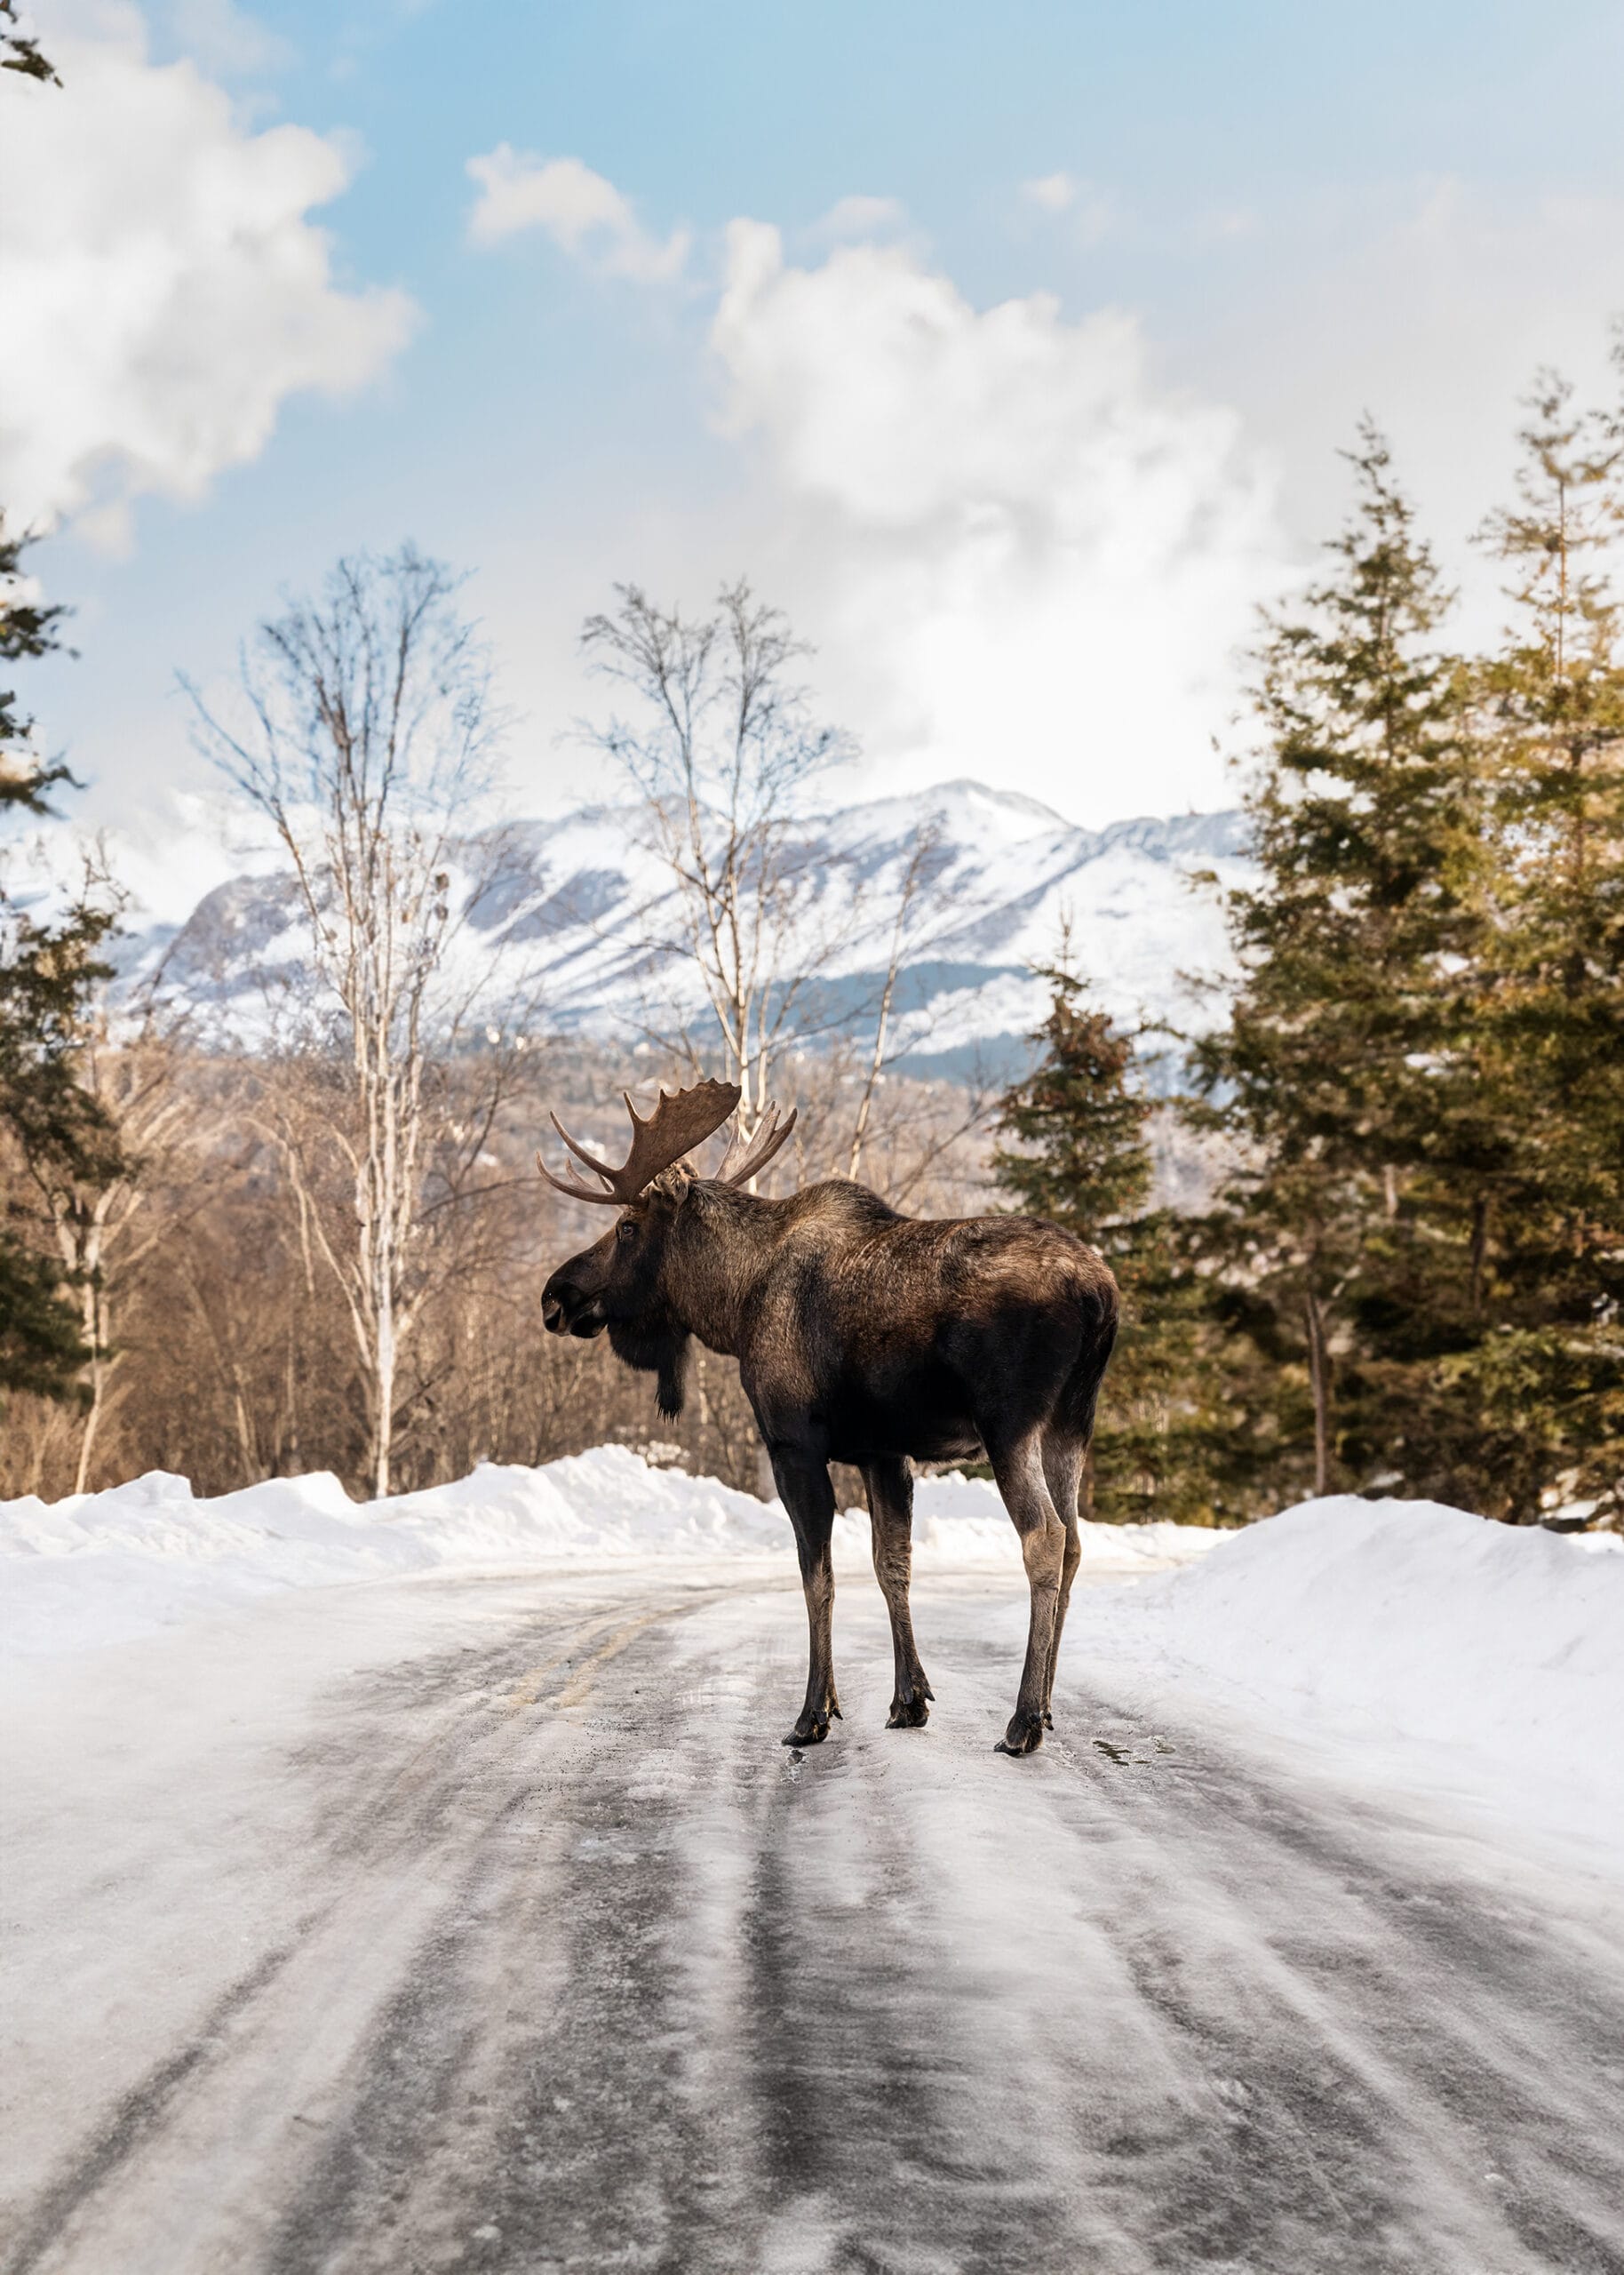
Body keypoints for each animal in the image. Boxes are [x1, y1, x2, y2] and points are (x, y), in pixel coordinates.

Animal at [539, 1079, 1118, 1756]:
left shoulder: (793, 1442)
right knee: (1074, 1541)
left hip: (1010, 1425)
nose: (555, 1294)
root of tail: (1099, 1293)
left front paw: (813, 1713)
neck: (732, 1306)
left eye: (627, 1227)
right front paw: (908, 1700)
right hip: (1071, 1425)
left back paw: (1022, 1720)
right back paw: (1047, 1709)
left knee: (1045, 1538)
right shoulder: (882, 1451)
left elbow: (818, 1573)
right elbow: (891, 1565)